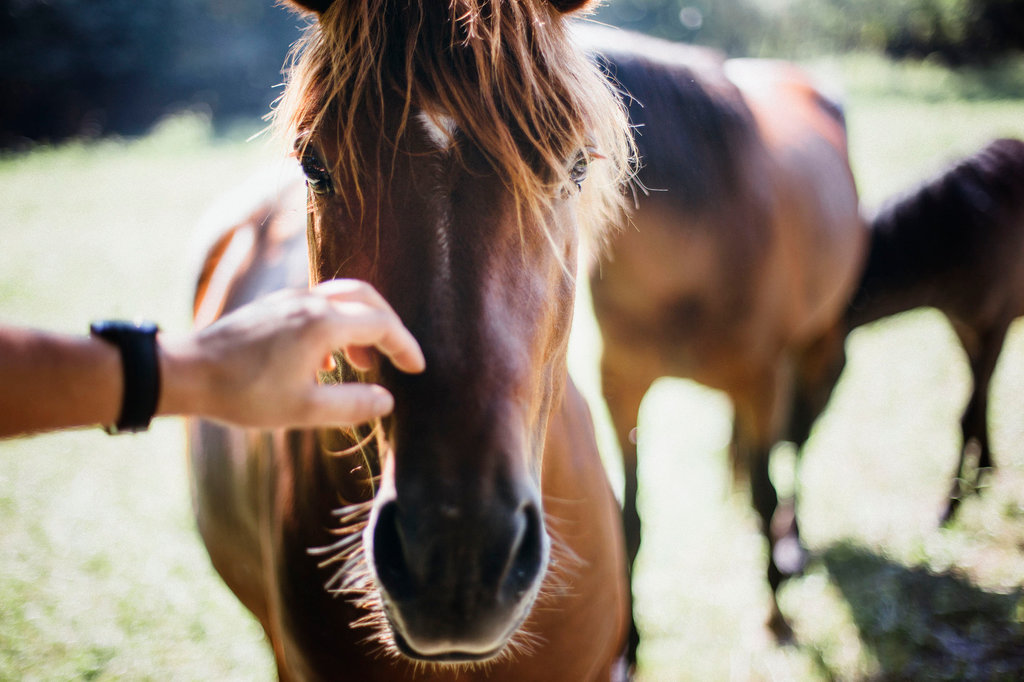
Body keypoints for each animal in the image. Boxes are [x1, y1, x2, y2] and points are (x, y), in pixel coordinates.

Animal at [577, 26, 864, 651]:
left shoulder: (760, 380)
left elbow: (766, 492)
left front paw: (775, 619)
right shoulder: (620, 384)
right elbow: (631, 515)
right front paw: (629, 643)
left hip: (816, 351)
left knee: (795, 444)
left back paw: (791, 544)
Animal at [835, 137, 1024, 520]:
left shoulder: (996, 324)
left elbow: (969, 413)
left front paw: (952, 503)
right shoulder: (963, 326)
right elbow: (980, 400)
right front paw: (982, 476)